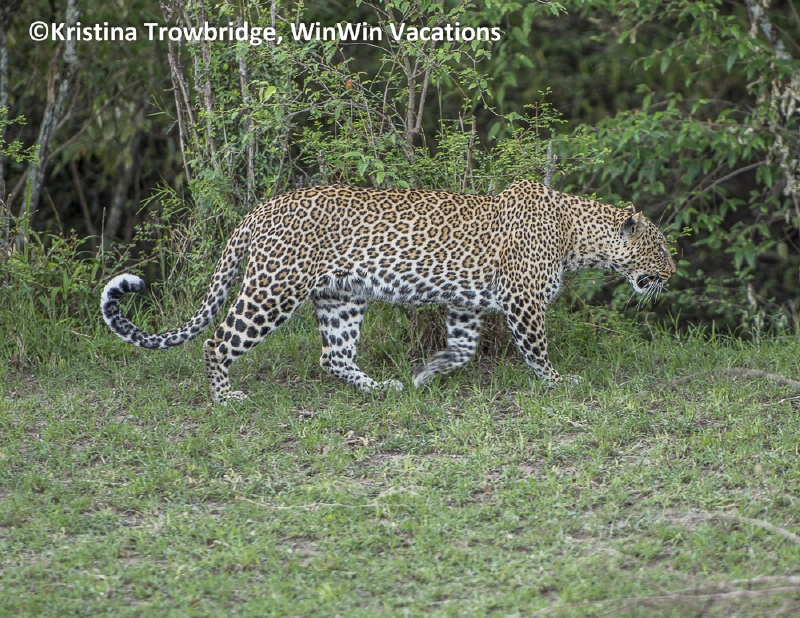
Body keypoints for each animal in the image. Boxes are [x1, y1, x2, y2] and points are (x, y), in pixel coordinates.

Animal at [101, 181, 676, 403]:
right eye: (661, 249)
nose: (672, 275)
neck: (577, 235)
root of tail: (260, 209)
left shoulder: (464, 303)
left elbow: (463, 350)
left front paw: (426, 373)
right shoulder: (522, 301)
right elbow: (537, 351)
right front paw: (558, 382)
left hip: (341, 298)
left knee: (333, 356)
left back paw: (382, 389)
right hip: (273, 289)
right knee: (216, 341)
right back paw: (226, 399)